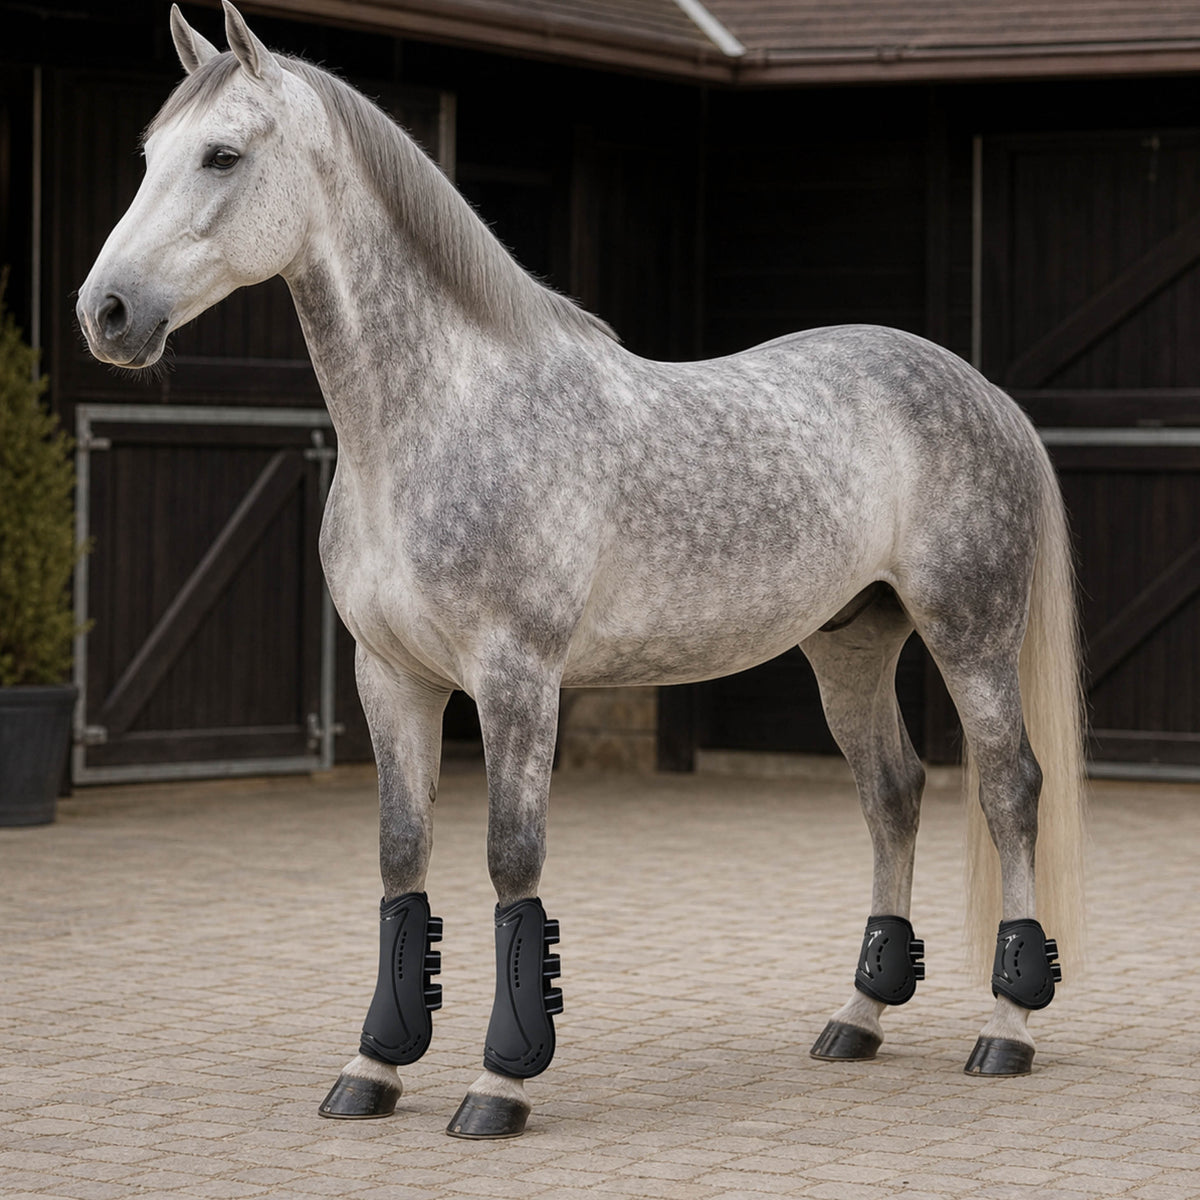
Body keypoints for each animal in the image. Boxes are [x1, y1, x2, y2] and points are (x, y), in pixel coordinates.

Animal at [77, 2, 1087, 1140]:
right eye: (149, 155)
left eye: (223, 155)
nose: (106, 313)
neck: (440, 422)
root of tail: (981, 390)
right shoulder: (391, 678)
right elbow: (400, 857)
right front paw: (373, 1068)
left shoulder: (517, 678)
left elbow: (511, 858)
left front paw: (500, 1083)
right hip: (851, 645)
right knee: (894, 792)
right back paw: (859, 1017)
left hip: (971, 633)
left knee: (1008, 787)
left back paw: (1008, 1028)